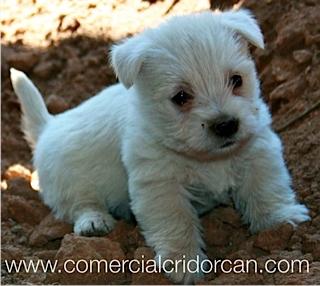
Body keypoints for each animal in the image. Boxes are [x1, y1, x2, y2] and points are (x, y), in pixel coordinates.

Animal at [11, 8, 308, 284]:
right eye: (181, 97)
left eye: (237, 80)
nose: (225, 125)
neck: (206, 157)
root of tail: (48, 126)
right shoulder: (159, 185)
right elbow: (177, 222)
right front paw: (184, 263)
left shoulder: (258, 152)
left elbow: (267, 189)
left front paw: (282, 220)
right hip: (69, 181)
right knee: (79, 204)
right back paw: (94, 222)